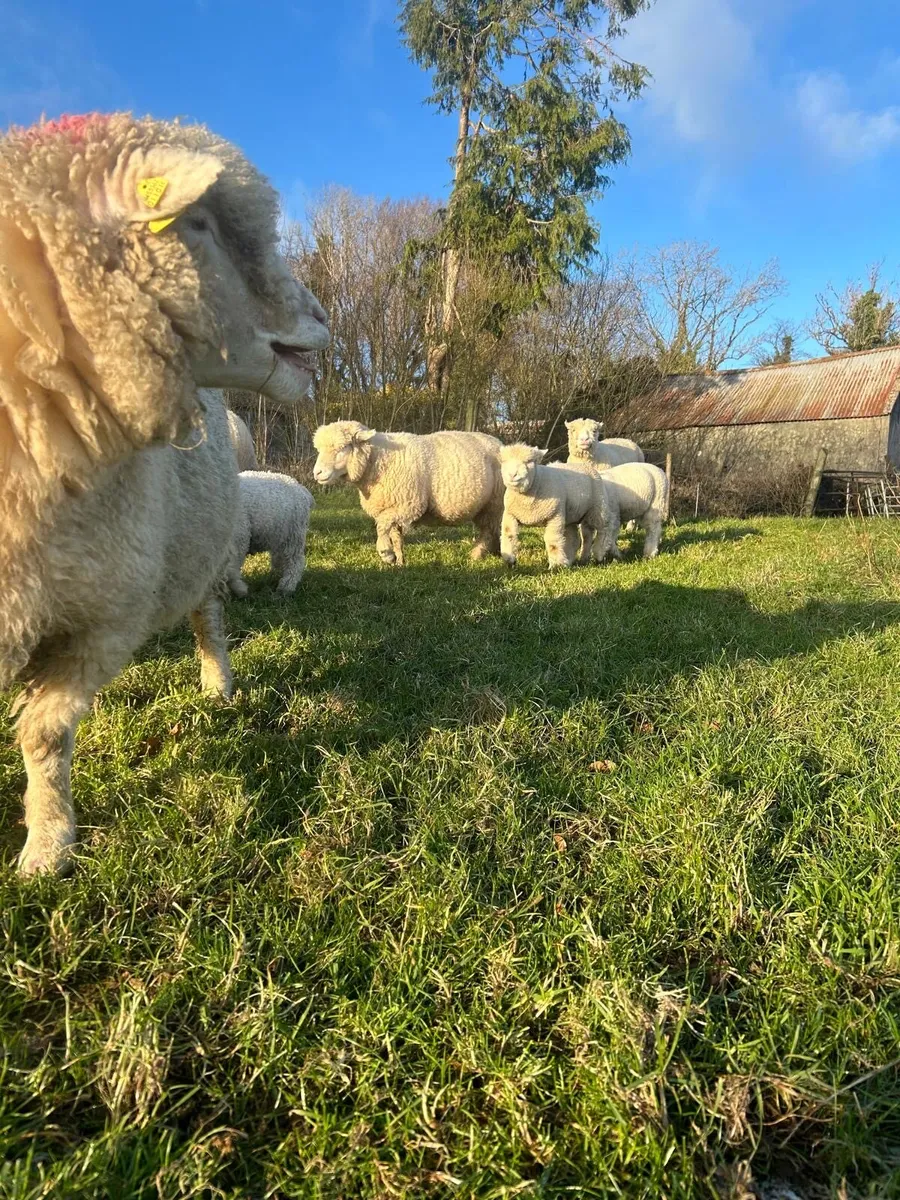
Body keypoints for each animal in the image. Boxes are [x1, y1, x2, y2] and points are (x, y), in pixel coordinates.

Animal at [0, 112, 330, 876]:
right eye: (199, 223)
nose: (322, 318)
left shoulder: (103, 613)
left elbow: (44, 735)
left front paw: (48, 845)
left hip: (204, 543)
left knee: (209, 617)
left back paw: (218, 684)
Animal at [312, 422, 504, 565]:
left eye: (342, 447)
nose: (317, 473)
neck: (378, 460)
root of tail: (499, 443)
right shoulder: (393, 506)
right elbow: (396, 536)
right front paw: (399, 561)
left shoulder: (408, 504)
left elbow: (381, 526)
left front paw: (386, 553)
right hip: (485, 507)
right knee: (489, 530)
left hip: (495, 503)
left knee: (489, 531)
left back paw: (476, 555)